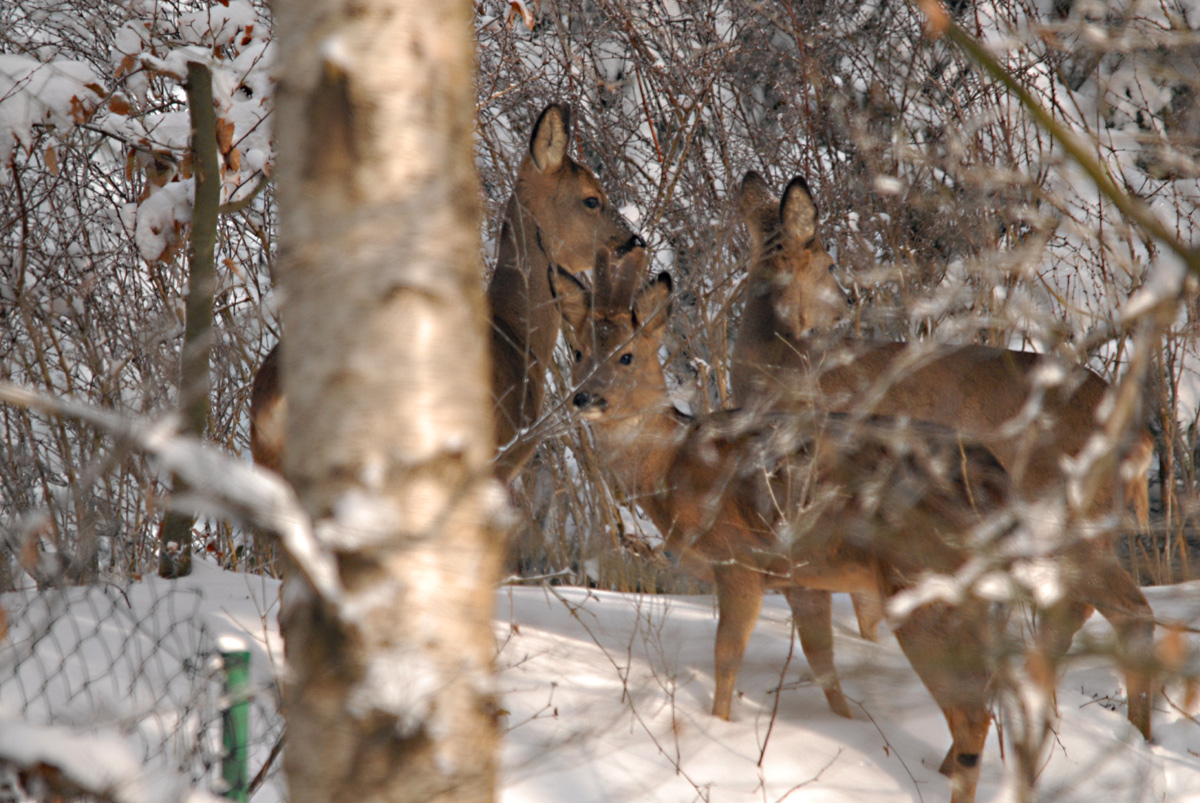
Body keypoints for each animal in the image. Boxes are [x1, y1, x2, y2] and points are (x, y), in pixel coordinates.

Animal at [552, 247, 1012, 796]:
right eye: (578, 350)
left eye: (626, 356)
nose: (585, 399)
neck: (672, 466)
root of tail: (998, 488)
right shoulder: (803, 578)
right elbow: (823, 663)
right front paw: (844, 726)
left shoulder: (739, 560)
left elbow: (726, 657)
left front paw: (721, 730)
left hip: (925, 587)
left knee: (972, 712)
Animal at [724, 170, 1156, 739]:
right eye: (832, 264)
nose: (846, 303)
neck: (784, 363)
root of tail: (1139, 435)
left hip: (1068, 514)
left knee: (1126, 610)